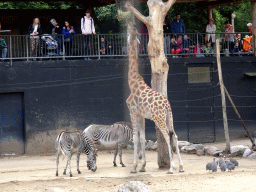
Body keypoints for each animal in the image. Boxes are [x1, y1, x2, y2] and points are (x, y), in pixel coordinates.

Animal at [125, 21, 184, 174]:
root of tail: (166, 105)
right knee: (175, 135)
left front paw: (134, 167)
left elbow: (135, 138)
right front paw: (142, 166)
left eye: (128, 33)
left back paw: (171, 168)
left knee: (167, 136)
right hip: (169, 117)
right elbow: (142, 137)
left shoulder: (132, 112)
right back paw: (181, 167)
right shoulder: (141, 115)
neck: (132, 83)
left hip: (159, 118)